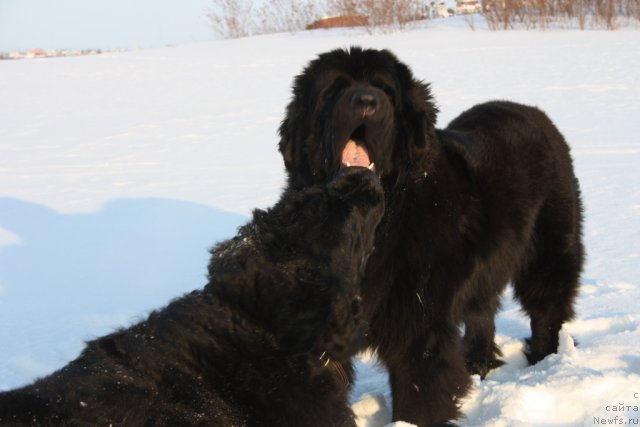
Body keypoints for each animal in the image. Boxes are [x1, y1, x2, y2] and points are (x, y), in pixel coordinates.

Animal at [278, 46, 584, 424]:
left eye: (385, 90)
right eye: (335, 88)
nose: (366, 101)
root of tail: (532, 111)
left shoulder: (419, 324)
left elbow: (419, 392)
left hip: (549, 249)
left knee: (547, 307)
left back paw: (546, 361)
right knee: (483, 311)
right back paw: (477, 364)